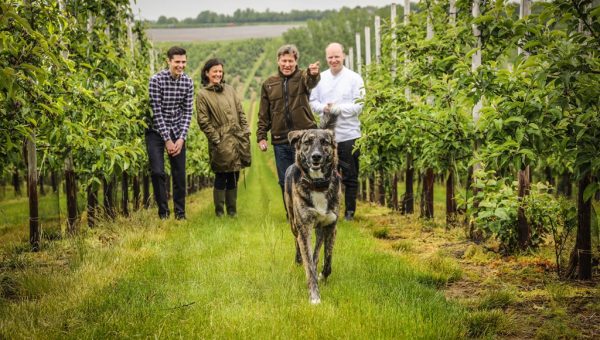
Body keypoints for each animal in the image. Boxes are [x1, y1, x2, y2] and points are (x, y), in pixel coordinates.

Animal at [284, 112, 340, 306]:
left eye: (324, 142)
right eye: (308, 142)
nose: (316, 157)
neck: (318, 185)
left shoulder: (331, 226)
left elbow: (328, 261)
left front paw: (322, 274)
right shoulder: (304, 227)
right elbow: (309, 266)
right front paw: (315, 297)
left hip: (320, 229)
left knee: (317, 250)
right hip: (294, 224)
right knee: (298, 244)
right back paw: (299, 260)